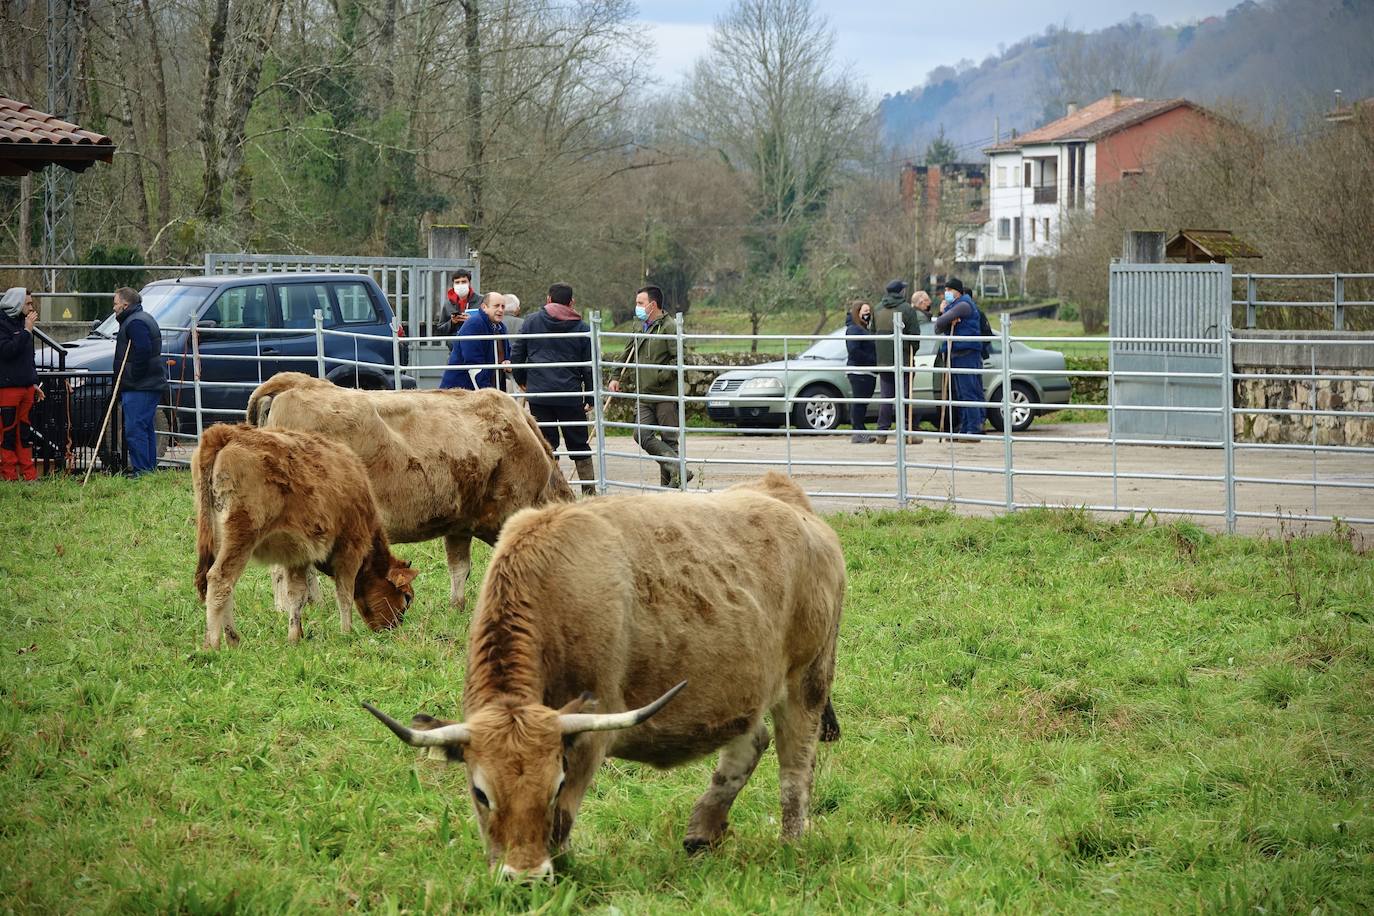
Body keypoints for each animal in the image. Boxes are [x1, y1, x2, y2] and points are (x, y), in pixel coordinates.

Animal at [193, 425, 414, 650]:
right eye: (407, 597)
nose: (393, 628)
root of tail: (227, 433)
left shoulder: (296, 557)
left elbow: (296, 594)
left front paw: (294, 636)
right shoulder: (350, 548)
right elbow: (344, 593)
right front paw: (346, 632)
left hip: (219, 540)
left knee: (225, 585)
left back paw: (234, 640)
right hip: (241, 537)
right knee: (220, 580)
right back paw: (213, 644)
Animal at [245, 373, 568, 609]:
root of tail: (298, 382)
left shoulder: (459, 524)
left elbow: (459, 567)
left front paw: (457, 606)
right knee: (282, 569)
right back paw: (288, 607)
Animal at [359, 472, 840, 878]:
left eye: (554, 786)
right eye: (481, 793)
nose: (524, 877)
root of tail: (784, 494)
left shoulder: (590, 734)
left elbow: (562, 820)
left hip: (807, 682)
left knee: (795, 769)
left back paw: (791, 843)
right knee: (749, 742)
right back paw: (703, 829)